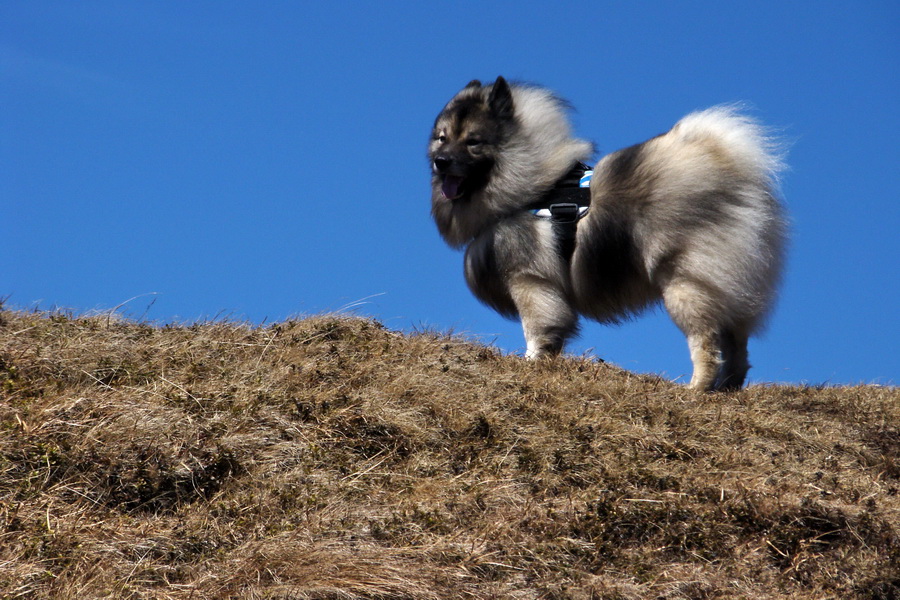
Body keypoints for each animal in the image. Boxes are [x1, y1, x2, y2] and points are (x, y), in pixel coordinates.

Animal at [426, 75, 784, 392]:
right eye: (442, 138)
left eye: (473, 142)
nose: (441, 161)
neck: (528, 184)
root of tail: (729, 167)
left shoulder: (529, 281)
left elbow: (537, 328)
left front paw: (530, 362)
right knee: (737, 349)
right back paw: (726, 390)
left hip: (685, 285)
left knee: (707, 344)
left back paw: (695, 389)